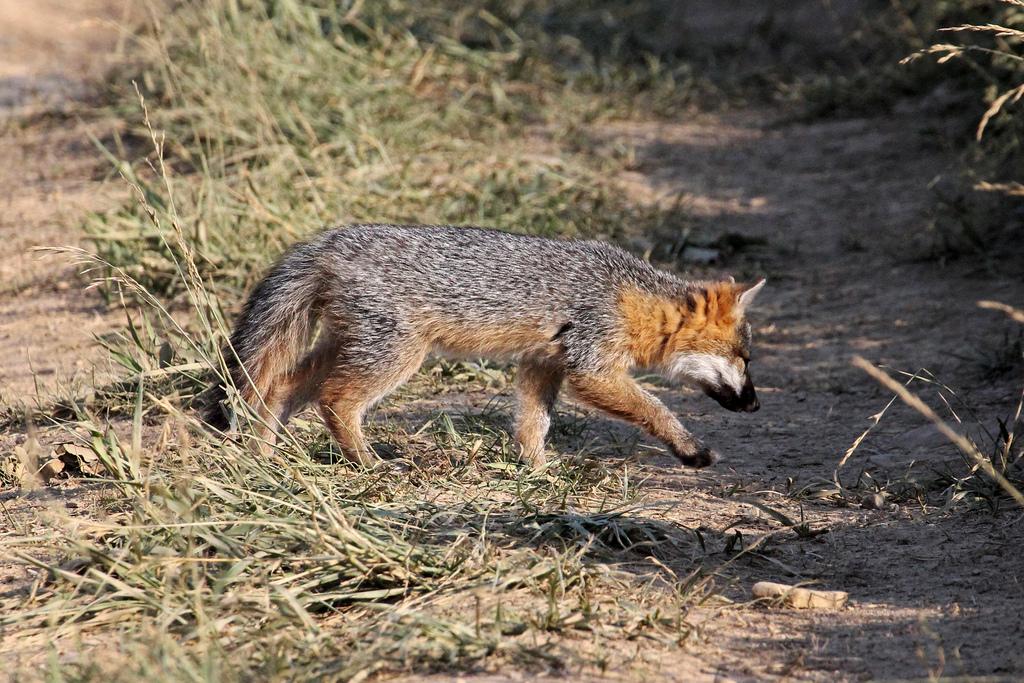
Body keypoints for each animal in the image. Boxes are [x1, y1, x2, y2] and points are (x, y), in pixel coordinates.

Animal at [203, 224, 765, 471]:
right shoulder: (591, 367)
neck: (630, 296)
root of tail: (334, 239)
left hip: (351, 346)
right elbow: (655, 407)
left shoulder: (542, 364)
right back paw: (368, 463)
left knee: (279, 388)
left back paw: (264, 459)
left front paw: (539, 472)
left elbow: (533, 424)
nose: (756, 405)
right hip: (397, 355)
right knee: (335, 400)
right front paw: (689, 448)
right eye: (745, 360)